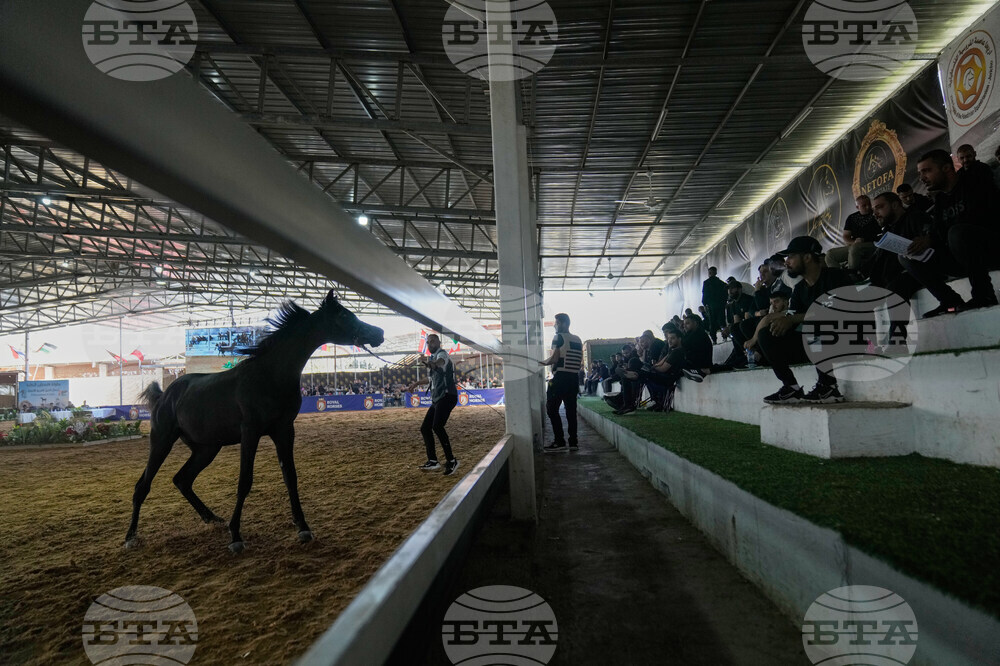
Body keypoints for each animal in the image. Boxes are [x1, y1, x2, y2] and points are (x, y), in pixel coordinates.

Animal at [126, 291, 384, 553]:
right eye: (343, 315)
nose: (379, 333)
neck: (269, 375)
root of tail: (165, 395)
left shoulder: (284, 430)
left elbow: (290, 476)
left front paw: (303, 527)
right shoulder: (250, 432)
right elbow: (245, 481)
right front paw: (236, 536)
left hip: (206, 449)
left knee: (182, 480)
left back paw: (212, 518)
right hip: (162, 441)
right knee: (143, 485)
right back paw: (130, 538)